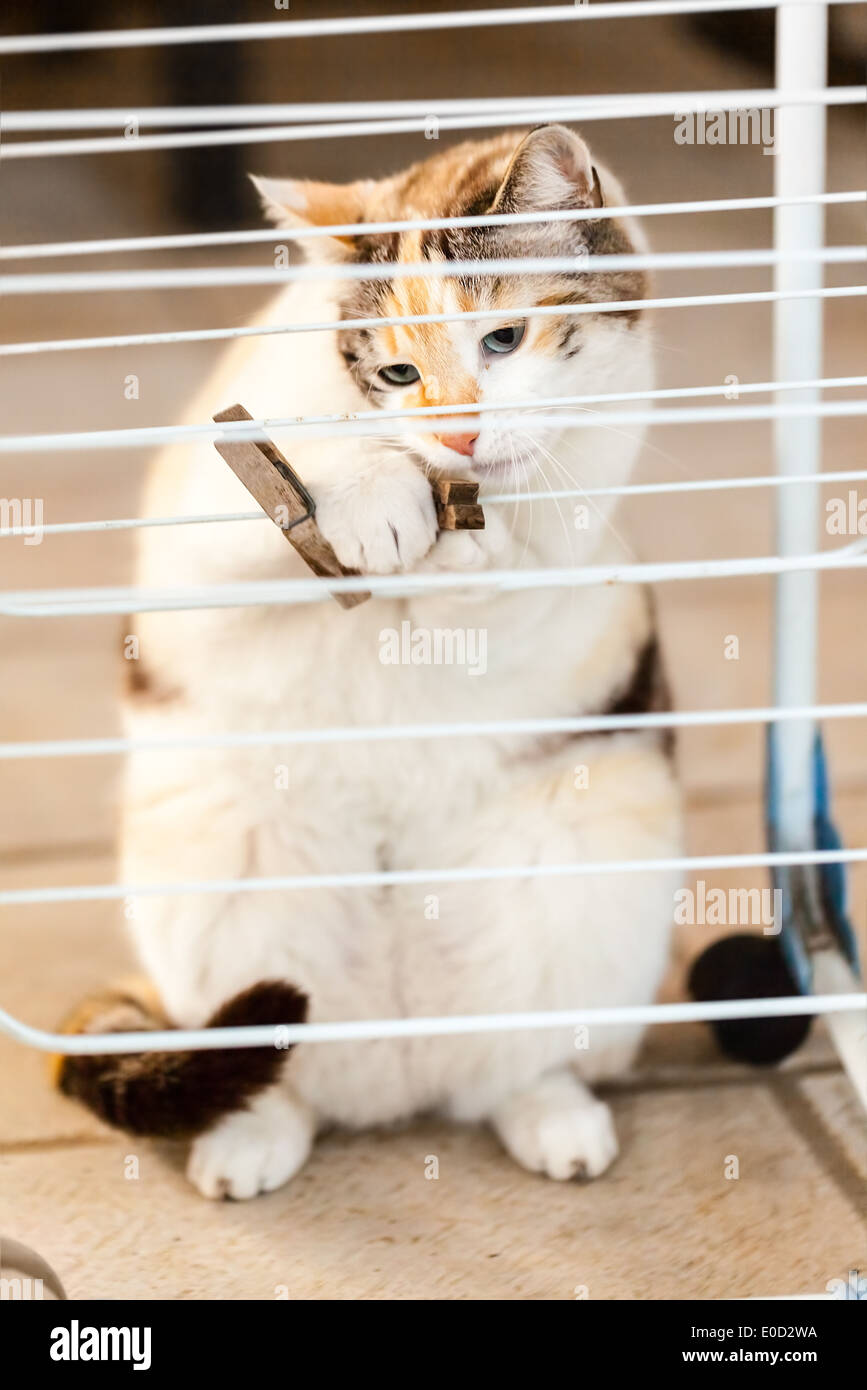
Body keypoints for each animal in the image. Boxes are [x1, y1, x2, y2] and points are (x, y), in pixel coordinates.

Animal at [57, 125, 686, 1200]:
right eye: (394, 374)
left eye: (503, 341)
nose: (456, 430)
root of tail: (402, 1066)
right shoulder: (199, 501)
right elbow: (293, 478)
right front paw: (377, 500)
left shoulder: (575, 527)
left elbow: (506, 562)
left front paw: (461, 540)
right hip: (219, 881)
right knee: (271, 1066)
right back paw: (249, 1145)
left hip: (597, 855)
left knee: (515, 1063)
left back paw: (555, 1122)